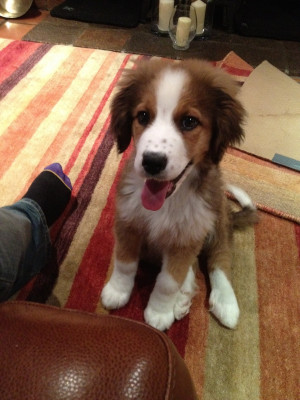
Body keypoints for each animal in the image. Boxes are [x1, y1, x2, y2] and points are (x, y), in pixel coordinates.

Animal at [101, 57, 258, 330]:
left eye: (189, 122)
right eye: (143, 116)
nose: (152, 162)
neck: (167, 202)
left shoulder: (187, 238)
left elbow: (168, 282)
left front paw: (159, 312)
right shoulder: (128, 222)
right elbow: (124, 263)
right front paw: (117, 291)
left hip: (217, 219)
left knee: (220, 258)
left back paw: (225, 302)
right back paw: (185, 295)